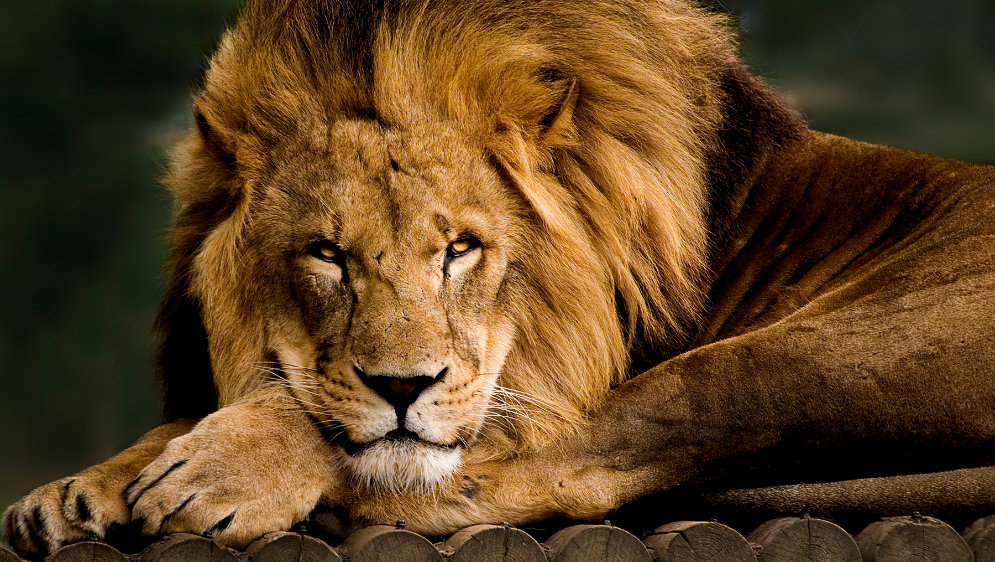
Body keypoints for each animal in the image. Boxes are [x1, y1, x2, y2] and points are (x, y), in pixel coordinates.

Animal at [5, 0, 995, 556]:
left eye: (460, 248)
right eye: (326, 253)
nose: (402, 386)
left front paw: (218, 470)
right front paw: (74, 492)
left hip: (845, 344)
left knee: (570, 461)